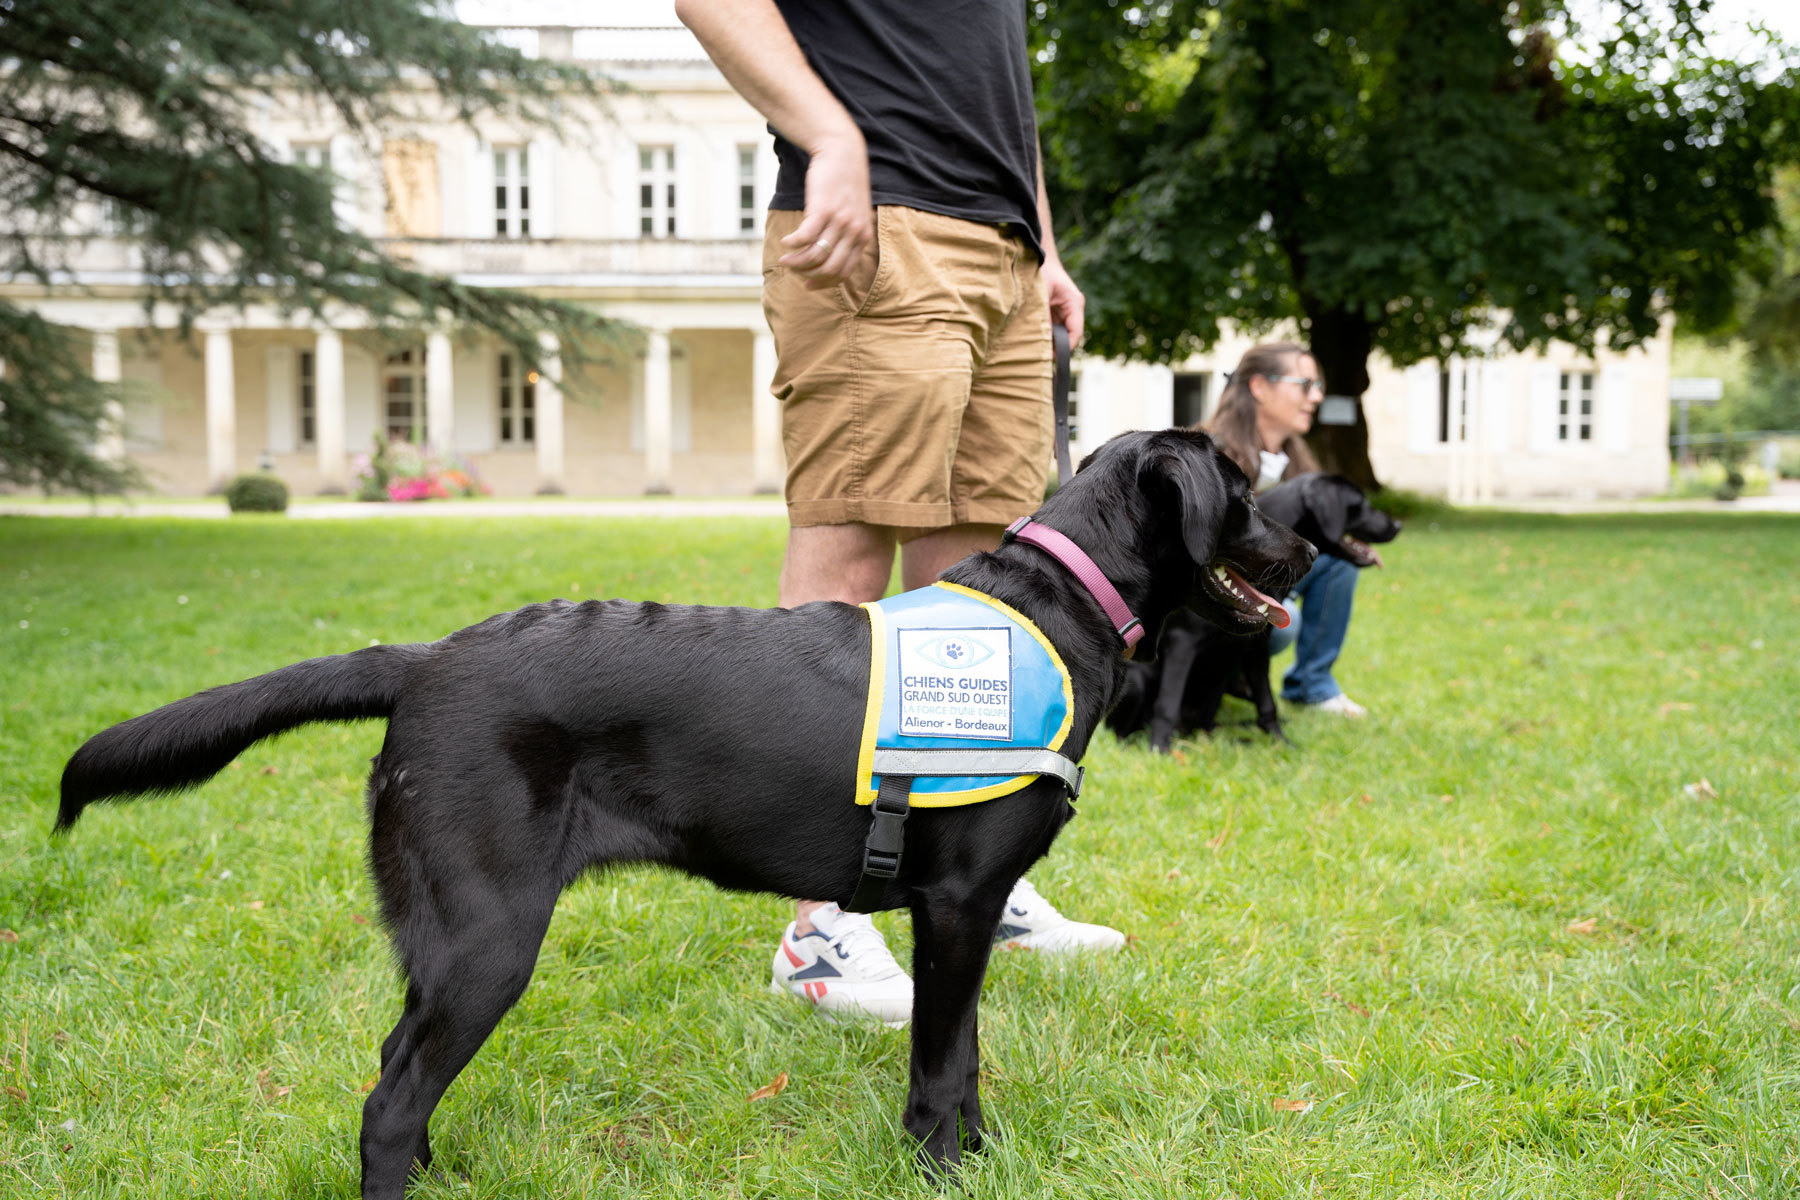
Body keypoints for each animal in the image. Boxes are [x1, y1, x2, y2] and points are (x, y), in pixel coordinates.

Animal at [56, 426, 1317, 1194]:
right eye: (1243, 493)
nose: (1310, 549)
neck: (1062, 602)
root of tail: (424, 660)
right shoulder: (957, 906)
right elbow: (940, 1064)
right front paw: (946, 1170)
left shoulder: (957, 913)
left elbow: (963, 1063)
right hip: (490, 935)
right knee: (388, 1098)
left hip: (443, 938)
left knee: (396, 1071)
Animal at [1101, 471, 1396, 744]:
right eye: (1361, 503)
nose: (1397, 524)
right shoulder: (1182, 642)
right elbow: (1167, 704)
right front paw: (1159, 749)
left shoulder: (1257, 646)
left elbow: (1267, 702)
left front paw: (1280, 743)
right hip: (1136, 681)